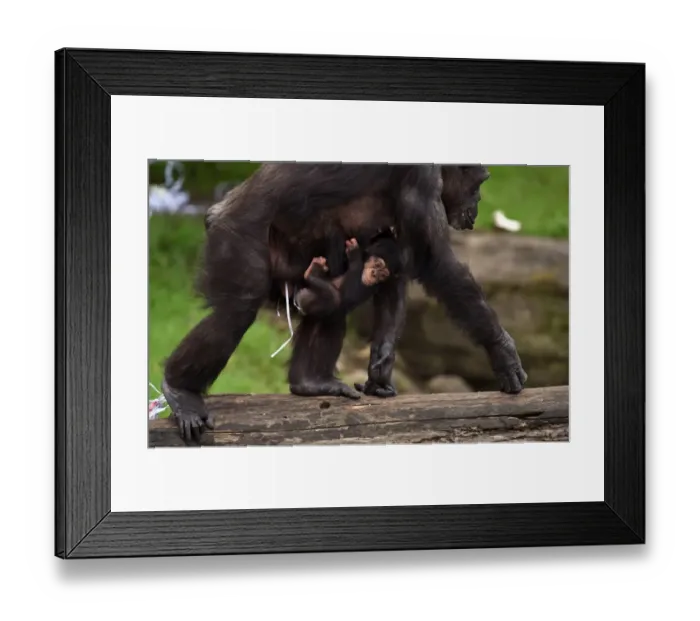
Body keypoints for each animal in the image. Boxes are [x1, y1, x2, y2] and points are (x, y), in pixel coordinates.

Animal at [162, 163, 527, 443]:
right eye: (480, 182)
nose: (477, 201)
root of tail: (215, 210)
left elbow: (394, 257)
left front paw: (381, 367)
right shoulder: (421, 179)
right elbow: (436, 262)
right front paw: (503, 352)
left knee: (331, 301)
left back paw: (311, 382)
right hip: (235, 237)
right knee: (234, 312)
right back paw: (180, 391)